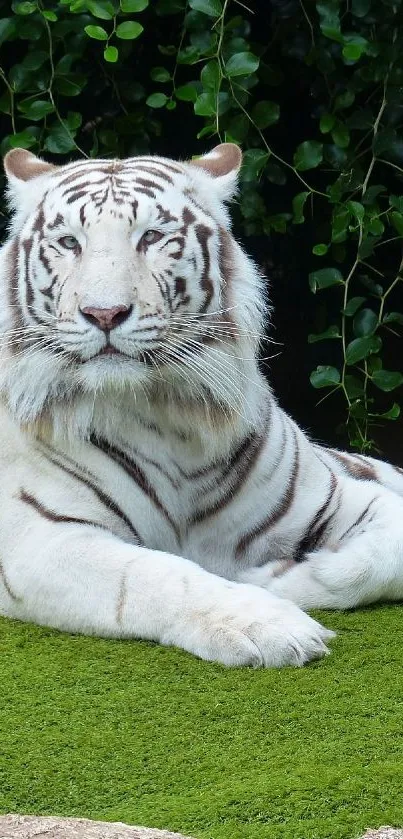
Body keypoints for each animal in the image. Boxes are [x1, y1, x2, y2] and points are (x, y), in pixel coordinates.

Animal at [0, 144, 403, 668]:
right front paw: (270, 623)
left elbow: (385, 556)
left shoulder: (336, 494)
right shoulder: (38, 540)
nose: (104, 313)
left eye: (151, 236)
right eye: (69, 242)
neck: (167, 414)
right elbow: (157, 575)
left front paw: (275, 577)